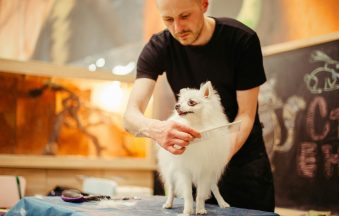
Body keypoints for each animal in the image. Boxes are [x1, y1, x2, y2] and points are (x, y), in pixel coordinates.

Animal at [158, 80, 235, 214]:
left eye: (191, 102)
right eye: (179, 102)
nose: (177, 106)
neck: (196, 126)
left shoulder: (205, 171)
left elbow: (200, 194)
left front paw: (200, 209)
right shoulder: (184, 171)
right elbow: (188, 194)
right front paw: (188, 211)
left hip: (211, 175)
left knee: (214, 188)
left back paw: (222, 203)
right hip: (171, 171)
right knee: (171, 188)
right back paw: (168, 203)